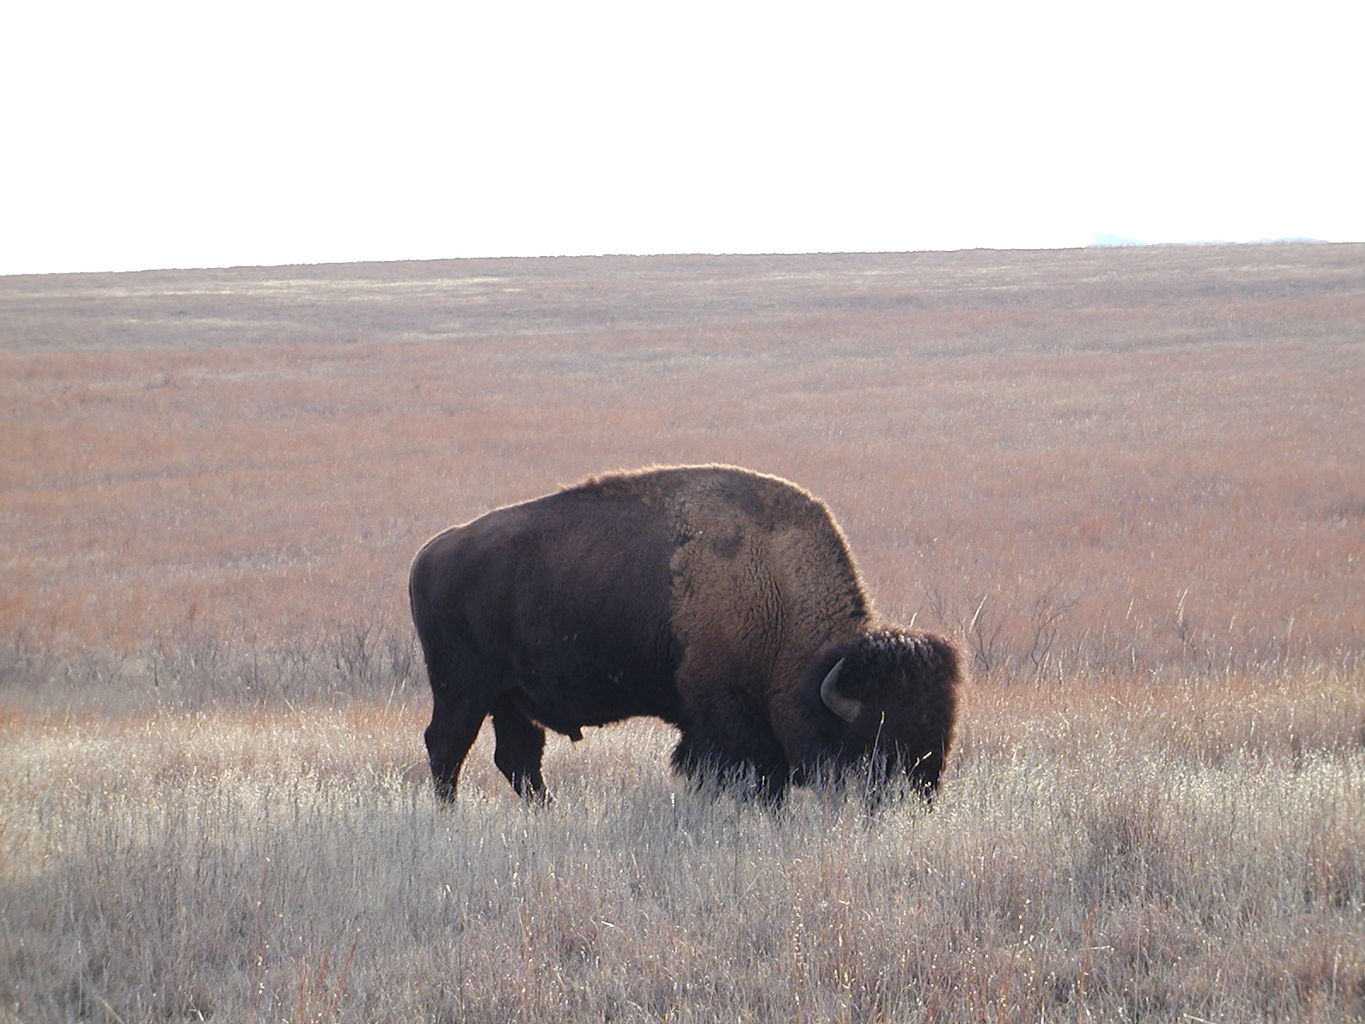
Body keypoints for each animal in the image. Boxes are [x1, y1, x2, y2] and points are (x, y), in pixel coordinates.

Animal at [404, 464, 960, 808]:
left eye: (939, 732)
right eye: (877, 738)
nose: (917, 798)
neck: (775, 583)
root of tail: (430, 553)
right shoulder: (723, 716)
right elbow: (750, 777)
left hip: (510, 697)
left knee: (518, 760)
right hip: (463, 688)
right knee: (446, 747)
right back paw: (449, 820)